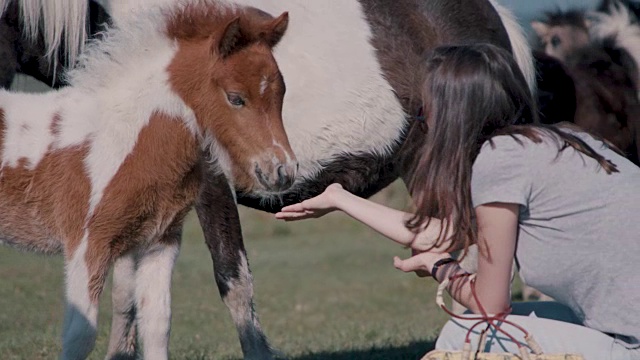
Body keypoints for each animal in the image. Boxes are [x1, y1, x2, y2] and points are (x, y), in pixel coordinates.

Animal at [0, 1, 294, 358]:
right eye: (235, 97)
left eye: (281, 94)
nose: (282, 171)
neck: (122, 137)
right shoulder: (87, 245)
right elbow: (80, 334)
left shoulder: (160, 242)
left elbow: (156, 324)